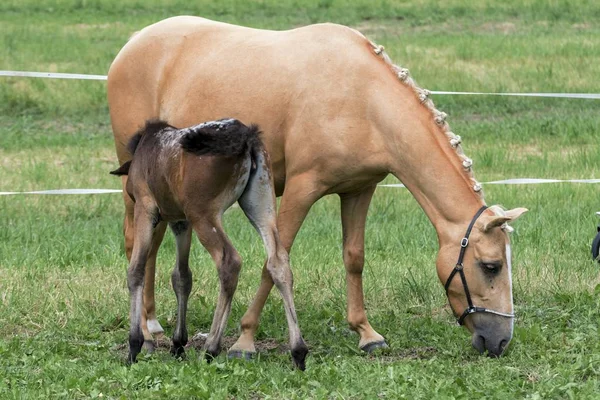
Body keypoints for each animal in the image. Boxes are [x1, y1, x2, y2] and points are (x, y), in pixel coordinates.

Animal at [108, 17, 524, 358]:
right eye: (491, 266)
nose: (501, 340)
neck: (363, 99)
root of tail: (132, 43)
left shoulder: (359, 190)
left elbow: (354, 257)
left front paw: (367, 334)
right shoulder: (301, 189)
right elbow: (275, 260)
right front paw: (245, 340)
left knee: (153, 246)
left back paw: (154, 325)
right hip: (138, 191)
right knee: (135, 246)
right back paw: (145, 335)